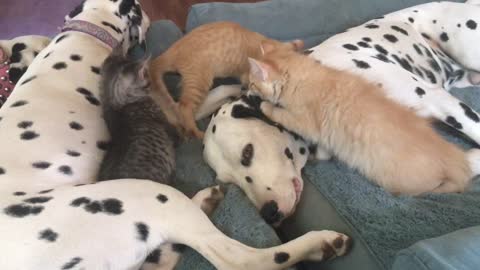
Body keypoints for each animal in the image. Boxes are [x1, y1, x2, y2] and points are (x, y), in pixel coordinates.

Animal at [246, 46, 478, 194]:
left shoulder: (303, 120)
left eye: (252, 83)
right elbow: (324, 149)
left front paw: (265, 106)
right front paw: (317, 158)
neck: (305, 75)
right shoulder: (325, 132)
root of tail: (456, 161)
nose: (247, 91)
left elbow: (279, 113)